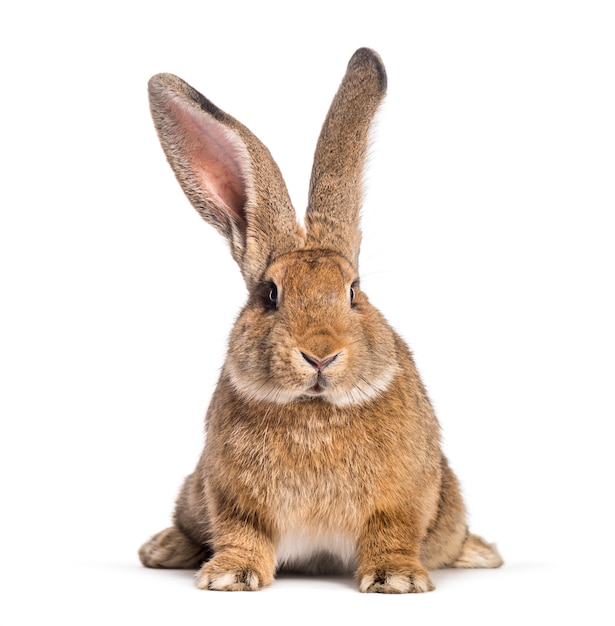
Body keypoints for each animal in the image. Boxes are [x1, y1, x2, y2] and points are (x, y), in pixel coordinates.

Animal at [141, 47, 506, 588]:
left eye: (353, 292)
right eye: (270, 294)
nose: (319, 355)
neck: (314, 410)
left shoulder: (404, 497)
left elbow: (393, 532)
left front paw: (397, 580)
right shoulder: (231, 497)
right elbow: (242, 533)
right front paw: (230, 575)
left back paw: (481, 553)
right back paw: (162, 549)